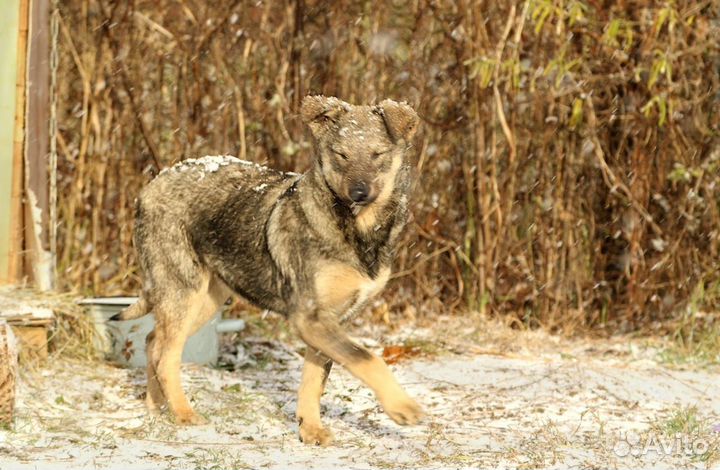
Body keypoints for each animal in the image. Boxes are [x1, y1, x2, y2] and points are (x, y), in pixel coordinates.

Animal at [114, 94, 422, 444]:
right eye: (341, 154)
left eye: (378, 154)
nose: (359, 193)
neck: (358, 232)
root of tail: (150, 185)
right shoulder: (309, 316)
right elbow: (367, 358)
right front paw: (402, 407)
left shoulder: (331, 320)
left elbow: (313, 380)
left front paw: (310, 430)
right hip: (184, 292)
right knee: (166, 356)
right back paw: (184, 415)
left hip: (205, 301)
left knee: (153, 342)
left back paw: (156, 410)